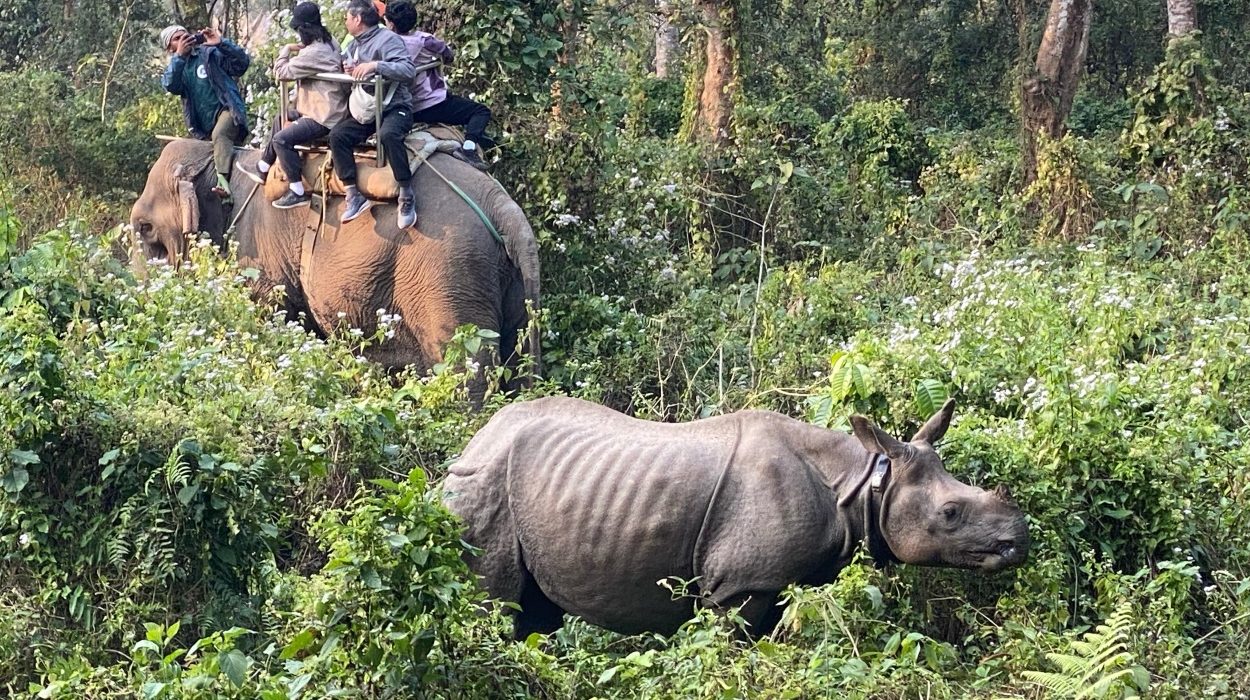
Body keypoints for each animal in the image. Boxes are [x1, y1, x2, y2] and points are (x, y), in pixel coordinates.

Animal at [129, 138, 540, 385]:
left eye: (145, 229)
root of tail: (503, 208)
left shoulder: (260, 255)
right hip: (508, 283)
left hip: (449, 273)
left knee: (465, 365)